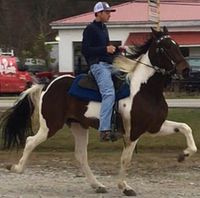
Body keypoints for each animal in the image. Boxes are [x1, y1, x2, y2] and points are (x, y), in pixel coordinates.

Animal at [0, 26, 197, 196]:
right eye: (164, 47)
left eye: (177, 45)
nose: (186, 70)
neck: (145, 89)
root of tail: (48, 85)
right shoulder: (133, 132)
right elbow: (126, 159)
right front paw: (125, 187)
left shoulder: (155, 126)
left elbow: (185, 127)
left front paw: (184, 154)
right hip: (50, 125)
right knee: (30, 141)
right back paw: (16, 168)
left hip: (78, 126)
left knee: (81, 155)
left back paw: (97, 185)